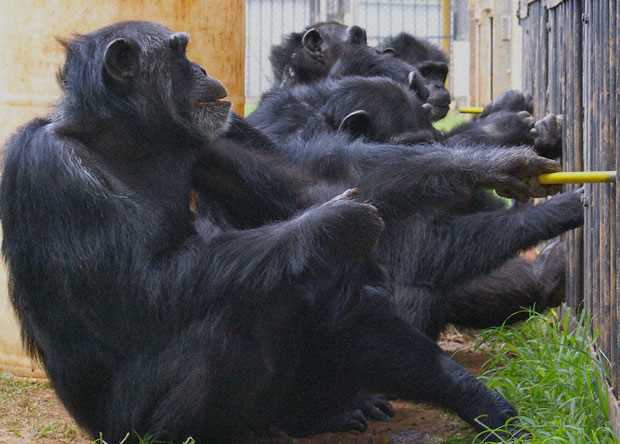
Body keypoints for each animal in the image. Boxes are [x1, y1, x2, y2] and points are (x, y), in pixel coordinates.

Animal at [1, 19, 568, 442]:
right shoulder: (52, 170)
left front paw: (500, 153)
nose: (201, 66)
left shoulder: (218, 133)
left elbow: (310, 176)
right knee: (244, 305)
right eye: (180, 52)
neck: (125, 136)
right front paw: (330, 225)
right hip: (122, 426)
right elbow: (143, 285)